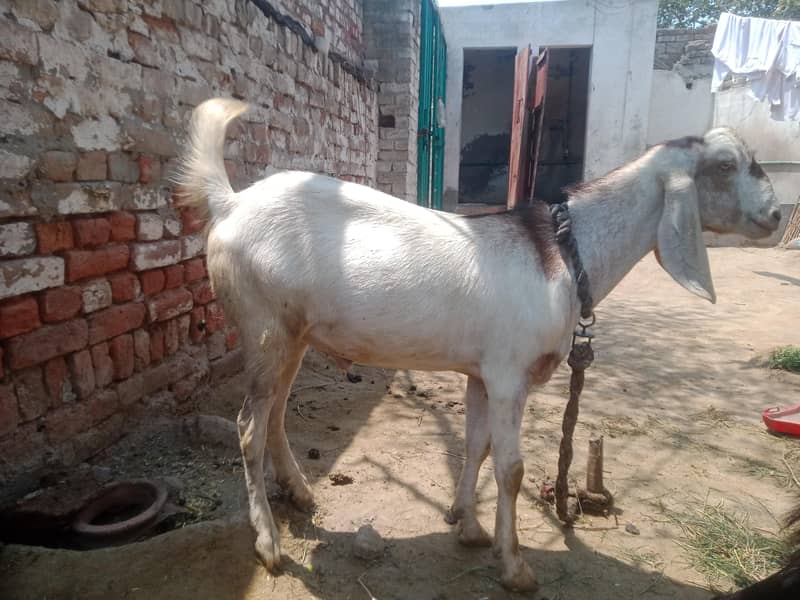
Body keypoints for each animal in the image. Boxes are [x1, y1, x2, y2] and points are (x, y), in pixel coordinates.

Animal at [176, 98, 782, 592]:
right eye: (725, 166)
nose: (777, 216)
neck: (562, 255)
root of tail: (230, 204)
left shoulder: (482, 373)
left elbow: (477, 446)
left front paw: (465, 525)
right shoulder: (511, 374)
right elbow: (510, 468)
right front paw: (514, 566)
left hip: (292, 334)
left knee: (275, 414)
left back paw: (300, 494)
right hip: (263, 325)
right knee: (249, 426)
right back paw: (269, 543)